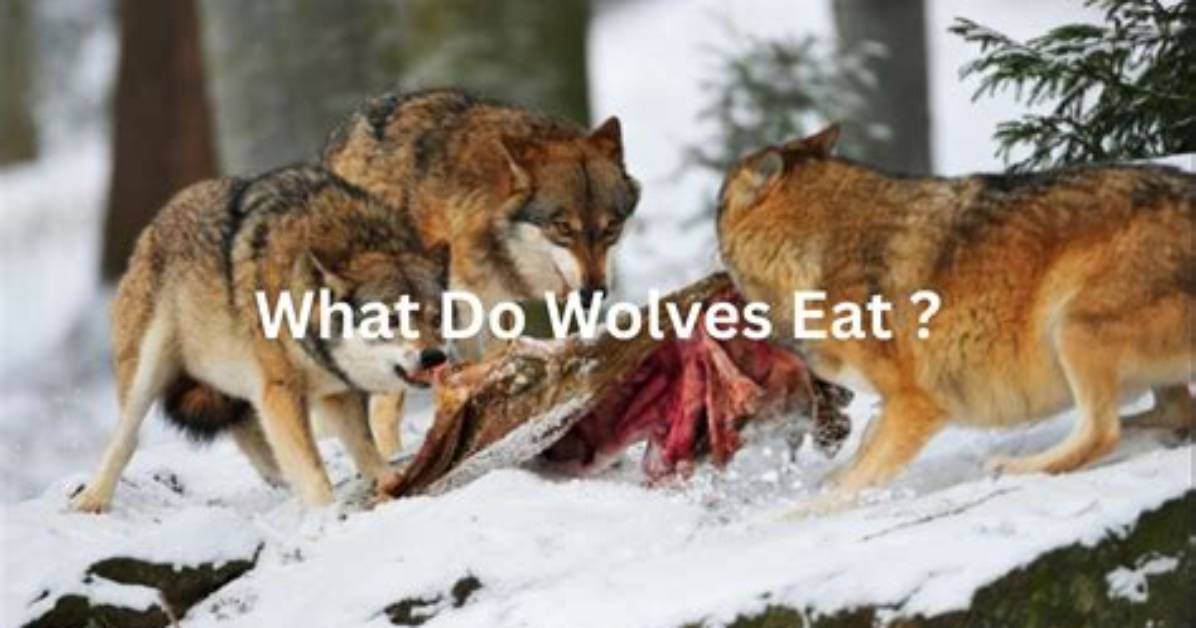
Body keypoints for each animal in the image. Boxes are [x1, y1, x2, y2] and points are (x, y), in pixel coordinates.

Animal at [71, 165, 450, 512]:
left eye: (437, 318)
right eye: (393, 318)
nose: (434, 357)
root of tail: (157, 219)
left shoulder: (336, 391)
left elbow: (365, 450)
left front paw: (393, 483)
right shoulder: (280, 390)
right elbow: (313, 470)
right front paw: (327, 517)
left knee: (246, 430)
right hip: (147, 373)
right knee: (126, 438)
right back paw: (92, 499)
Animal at [717, 125, 1194, 505]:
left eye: (718, 206)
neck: (811, 252)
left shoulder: (915, 403)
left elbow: (854, 482)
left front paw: (800, 513)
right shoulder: (891, 406)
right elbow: (862, 448)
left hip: (1070, 327)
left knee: (1102, 432)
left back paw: (1012, 465)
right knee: (1172, 415)